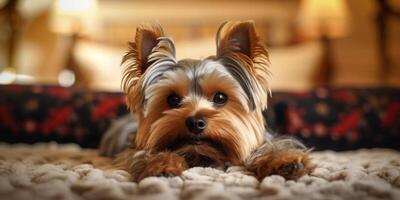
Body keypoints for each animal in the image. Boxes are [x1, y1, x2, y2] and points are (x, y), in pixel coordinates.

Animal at [100, 21, 312, 182]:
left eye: (220, 97)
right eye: (172, 99)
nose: (195, 122)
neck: (201, 156)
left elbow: (265, 148)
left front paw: (284, 162)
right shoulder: (132, 151)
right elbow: (143, 155)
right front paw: (162, 164)